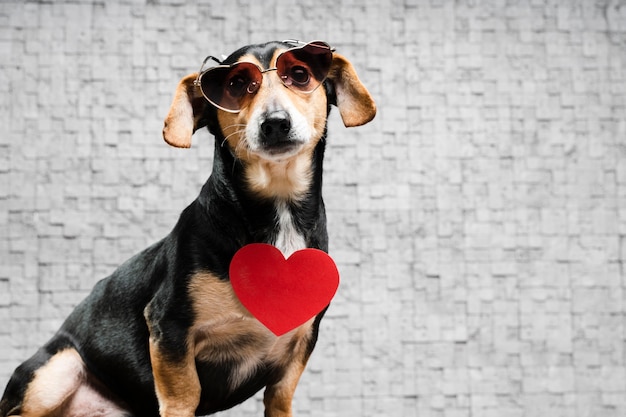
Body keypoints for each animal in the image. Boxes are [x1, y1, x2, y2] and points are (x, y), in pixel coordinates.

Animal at [0, 39, 376, 416]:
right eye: (236, 85)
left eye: (299, 75)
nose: (275, 123)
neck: (277, 208)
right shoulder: (169, 329)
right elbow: (182, 396)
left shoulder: (298, 348)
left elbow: (280, 399)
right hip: (56, 371)